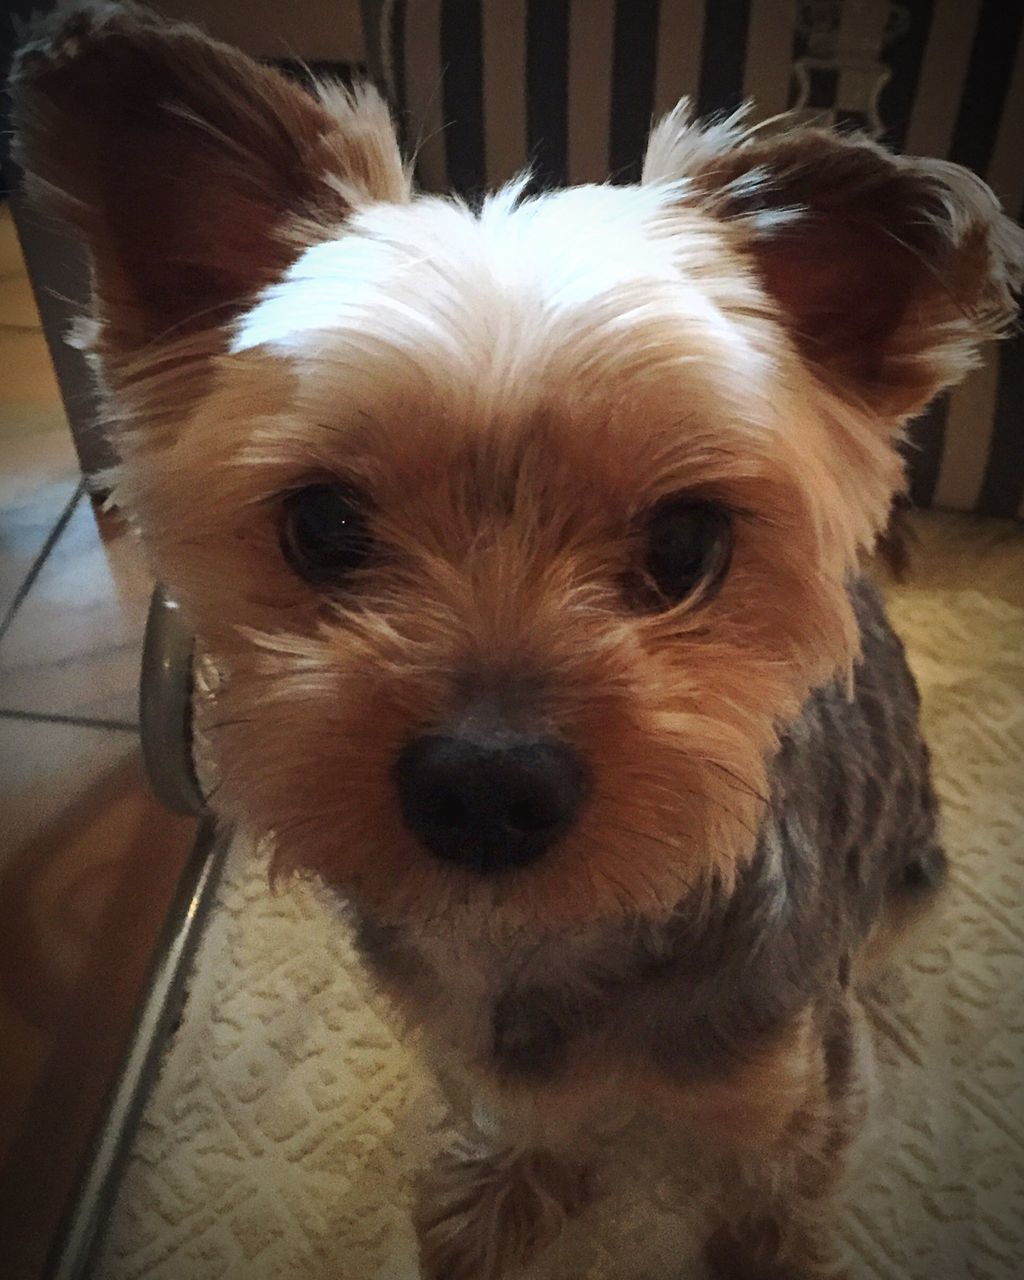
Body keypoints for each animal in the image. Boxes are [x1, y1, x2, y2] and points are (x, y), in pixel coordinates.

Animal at [10, 5, 1024, 1274]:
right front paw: (509, 1185)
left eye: (686, 540)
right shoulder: (463, 1038)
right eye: (322, 524)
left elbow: (774, 1181)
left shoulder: (790, 1076)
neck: (546, 938)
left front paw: (761, 1241)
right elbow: (526, 1109)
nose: (484, 788)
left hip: (910, 875)